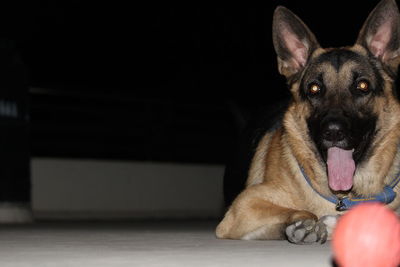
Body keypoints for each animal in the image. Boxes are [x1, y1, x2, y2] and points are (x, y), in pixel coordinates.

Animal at [217, 0, 400, 245]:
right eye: (314, 88)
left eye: (362, 86)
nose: (333, 132)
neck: (343, 196)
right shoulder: (244, 206)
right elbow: (302, 212)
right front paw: (312, 226)